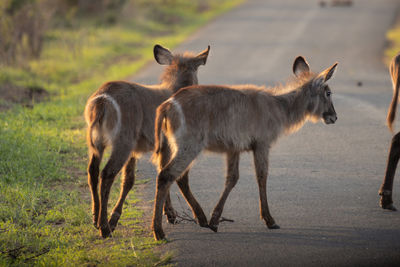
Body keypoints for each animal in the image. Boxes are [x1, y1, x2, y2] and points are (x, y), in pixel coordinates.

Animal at [84, 44, 209, 239]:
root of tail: (102, 100)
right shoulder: (167, 145)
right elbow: (173, 176)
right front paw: (184, 216)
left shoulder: (137, 151)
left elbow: (129, 181)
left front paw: (115, 218)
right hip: (123, 142)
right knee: (107, 174)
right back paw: (104, 228)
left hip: (98, 143)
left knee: (93, 171)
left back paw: (96, 219)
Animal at [152, 56, 340, 241]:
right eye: (328, 92)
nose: (334, 117)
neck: (279, 107)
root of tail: (167, 104)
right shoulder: (262, 144)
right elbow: (262, 176)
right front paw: (270, 220)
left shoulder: (233, 148)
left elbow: (232, 179)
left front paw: (214, 220)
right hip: (189, 146)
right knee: (167, 175)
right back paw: (159, 232)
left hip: (178, 146)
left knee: (178, 177)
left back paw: (201, 219)